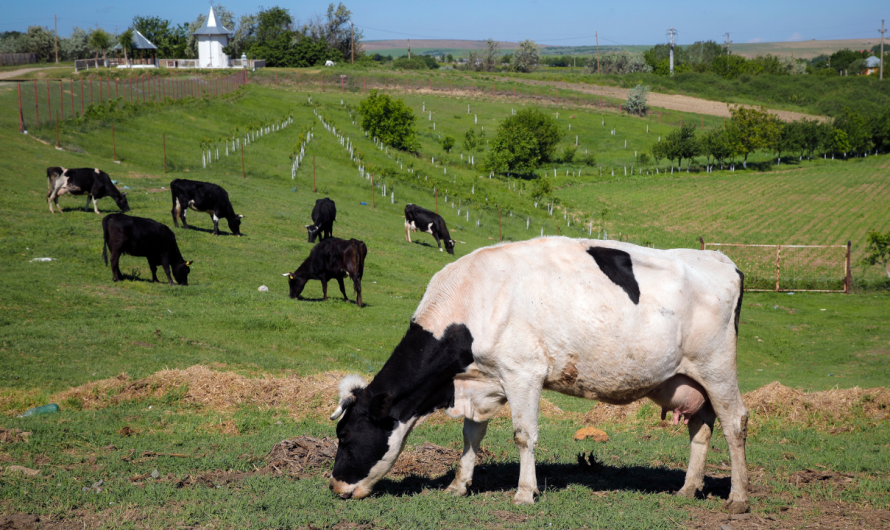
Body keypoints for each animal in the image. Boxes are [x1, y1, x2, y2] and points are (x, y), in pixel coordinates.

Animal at [328, 238, 748, 512]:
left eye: (345, 435)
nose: (335, 486)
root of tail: (721, 259)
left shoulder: (523, 372)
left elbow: (523, 435)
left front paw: (524, 493)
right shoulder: (483, 381)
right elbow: (471, 435)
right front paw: (458, 485)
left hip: (717, 367)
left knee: (735, 423)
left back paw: (738, 498)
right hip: (690, 380)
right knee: (701, 429)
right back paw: (688, 489)